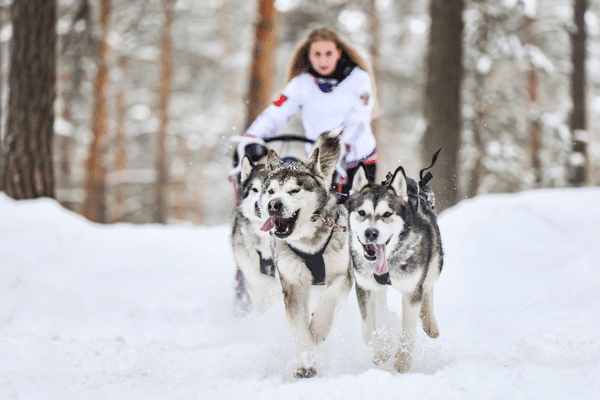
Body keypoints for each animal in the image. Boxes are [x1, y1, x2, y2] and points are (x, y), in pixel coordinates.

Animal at [258, 129, 352, 378]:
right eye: (271, 191)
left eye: (294, 190)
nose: (273, 204)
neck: (309, 244)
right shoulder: (293, 286)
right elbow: (299, 330)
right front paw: (306, 364)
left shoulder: (343, 276)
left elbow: (330, 298)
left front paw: (318, 329)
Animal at [346, 161, 440, 374]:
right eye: (362, 212)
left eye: (387, 214)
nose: (371, 233)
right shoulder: (364, 286)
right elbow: (367, 329)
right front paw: (381, 352)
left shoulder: (412, 290)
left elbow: (408, 332)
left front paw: (402, 363)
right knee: (381, 300)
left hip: (436, 262)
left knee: (429, 285)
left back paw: (430, 321)